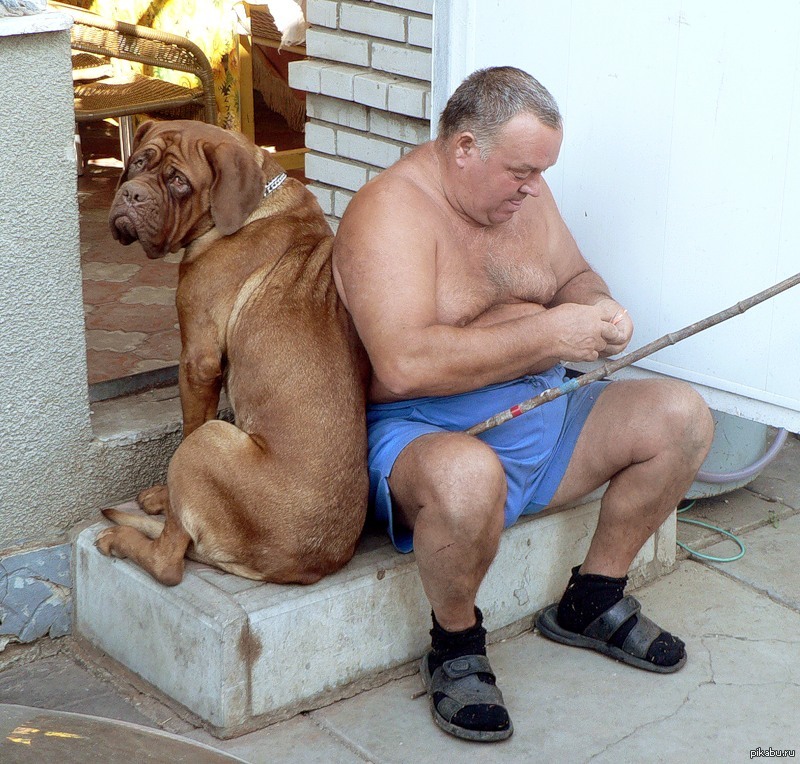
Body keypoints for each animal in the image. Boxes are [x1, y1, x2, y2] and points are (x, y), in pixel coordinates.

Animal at [96, 121, 368, 584]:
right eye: (137, 162)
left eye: (178, 181)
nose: (131, 194)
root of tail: (300, 566)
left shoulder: (197, 361)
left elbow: (186, 428)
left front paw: (164, 498)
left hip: (208, 442)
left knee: (169, 559)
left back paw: (123, 539)